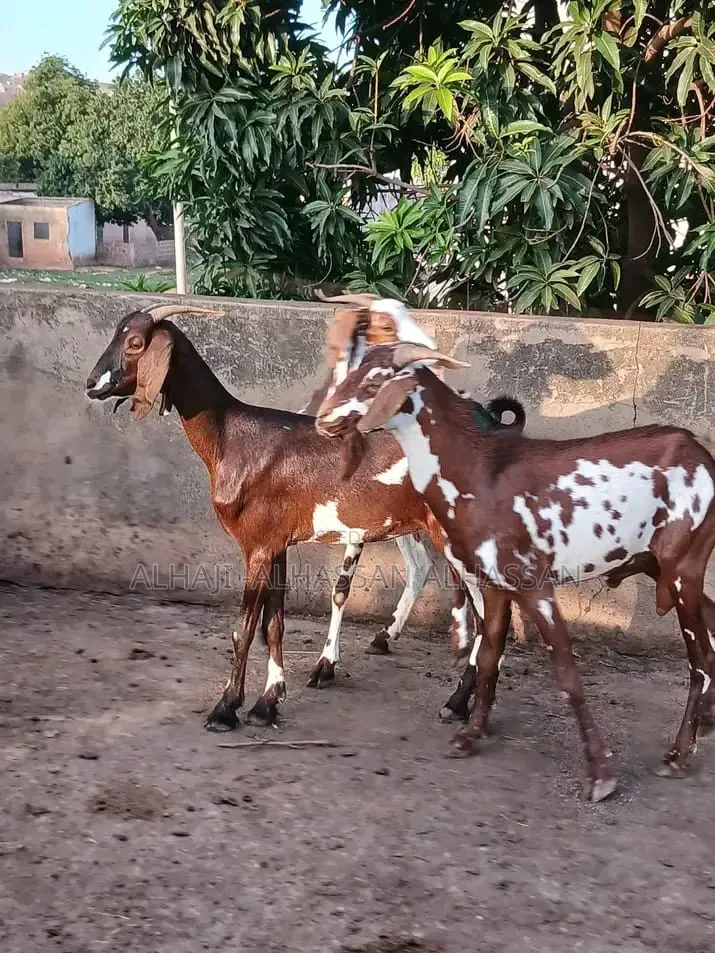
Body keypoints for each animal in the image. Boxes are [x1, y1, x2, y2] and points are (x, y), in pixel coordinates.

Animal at [85, 306, 524, 732]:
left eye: (136, 343)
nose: (92, 384)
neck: (231, 438)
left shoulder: (257, 546)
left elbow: (244, 629)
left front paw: (225, 709)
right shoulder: (276, 544)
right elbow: (274, 624)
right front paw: (267, 703)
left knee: (489, 616)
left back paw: (458, 703)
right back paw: (458, 700)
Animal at [314, 341, 715, 801]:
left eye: (375, 381)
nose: (324, 419)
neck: (481, 471)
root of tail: (700, 454)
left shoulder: (533, 585)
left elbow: (568, 675)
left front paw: (600, 776)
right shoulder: (494, 585)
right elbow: (489, 657)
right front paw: (469, 734)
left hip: (682, 568)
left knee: (700, 659)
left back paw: (678, 756)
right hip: (661, 566)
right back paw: (706, 724)